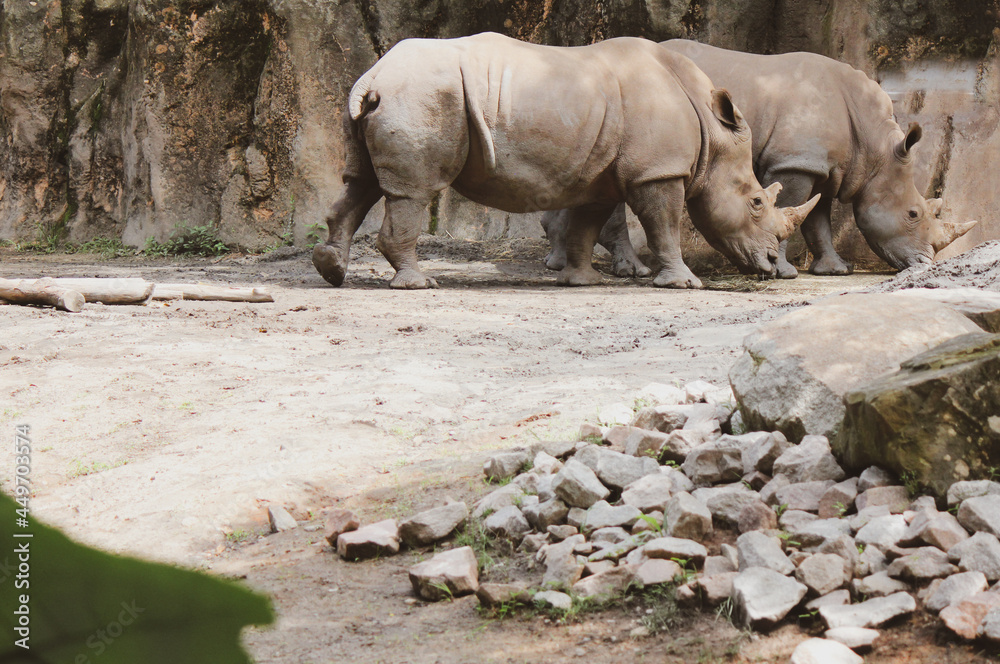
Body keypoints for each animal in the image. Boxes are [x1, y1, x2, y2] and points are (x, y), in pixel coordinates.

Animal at [312, 33, 817, 290]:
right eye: (756, 202)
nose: (771, 263)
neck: (713, 136)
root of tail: (374, 73)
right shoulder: (659, 172)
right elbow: (665, 225)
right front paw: (683, 284)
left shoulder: (604, 175)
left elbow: (586, 223)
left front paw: (581, 281)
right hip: (421, 95)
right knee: (413, 190)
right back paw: (418, 284)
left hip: (389, 97)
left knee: (360, 182)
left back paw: (331, 269)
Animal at [543, 40, 977, 278]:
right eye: (913, 214)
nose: (926, 263)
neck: (874, 151)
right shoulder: (796, 161)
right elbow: (793, 208)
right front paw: (785, 272)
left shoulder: (820, 164)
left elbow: (817, 219)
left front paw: (834, 269)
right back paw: (631, 270)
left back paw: (559, 263)